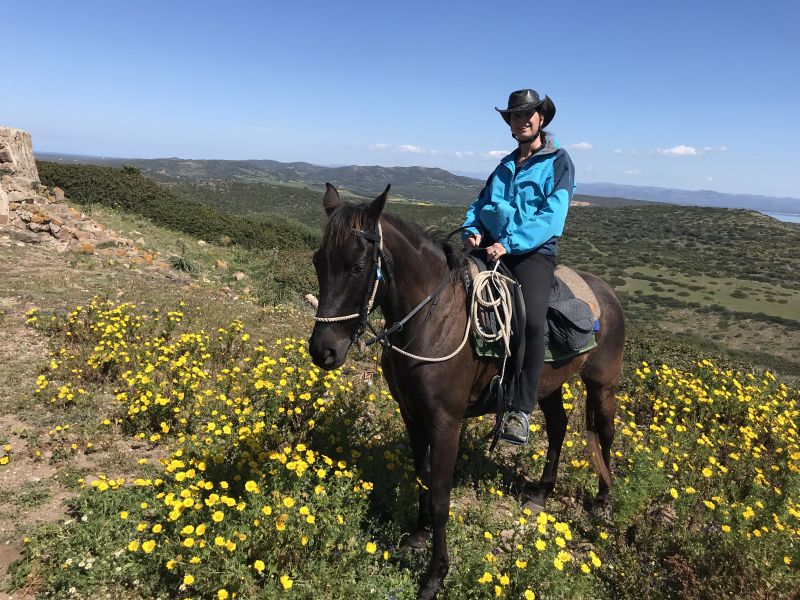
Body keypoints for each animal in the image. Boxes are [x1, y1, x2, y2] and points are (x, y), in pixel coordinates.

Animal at [308, 184, 624, 600]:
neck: (434, 319)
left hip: (602, 384)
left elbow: (441, 496)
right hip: (548, 385)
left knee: (605, 432)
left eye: (358, 267)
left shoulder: (446, 422)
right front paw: (417, 537)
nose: (323, 351)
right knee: (558, 426)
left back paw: (603, 500)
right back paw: (541, 492)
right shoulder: (412, 415)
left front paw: (434, 577)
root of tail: (607, 294)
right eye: (318, 261)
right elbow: (422, 476)